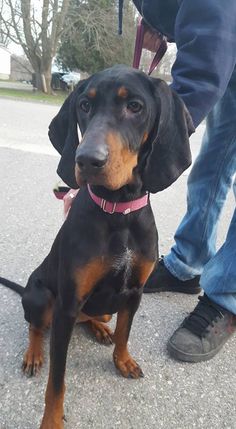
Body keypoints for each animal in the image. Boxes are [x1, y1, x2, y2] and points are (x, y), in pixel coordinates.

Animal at [0, 65, 194, 426]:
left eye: (135, 106)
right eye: (84, 106)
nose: (87, 160)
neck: (119, 212)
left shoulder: (134, 291)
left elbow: (125, 332)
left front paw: (123, 359)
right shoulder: (66, 305)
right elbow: (57, 381)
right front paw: (51, 420)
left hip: (101, 305)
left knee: (94, 316)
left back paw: (100, 328)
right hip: (41, 296)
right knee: (36, 325)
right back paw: (34, 353)